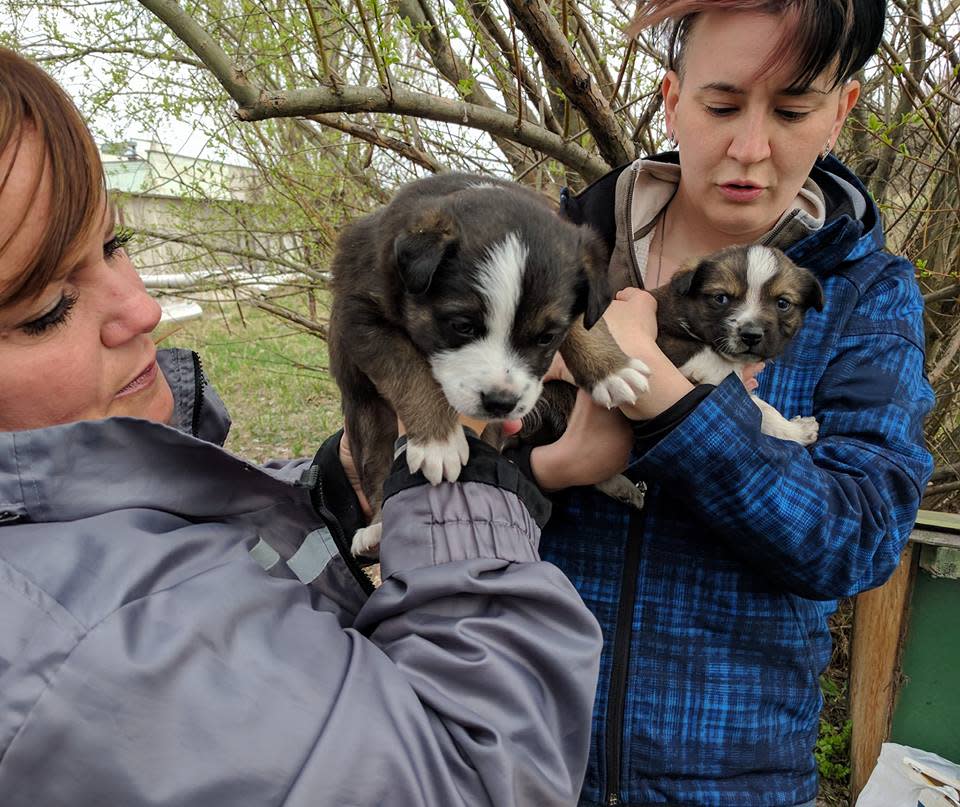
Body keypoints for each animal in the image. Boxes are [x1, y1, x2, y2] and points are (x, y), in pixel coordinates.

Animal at [326, 174, 648, 556]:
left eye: (547, 337)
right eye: (462, 326)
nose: (500, 403)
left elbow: (587, 323)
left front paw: (613, 370)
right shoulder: (359, 316)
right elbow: (408, 369)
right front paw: (439, 441)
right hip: (367, 417)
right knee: (376, 469)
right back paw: (375, 530)